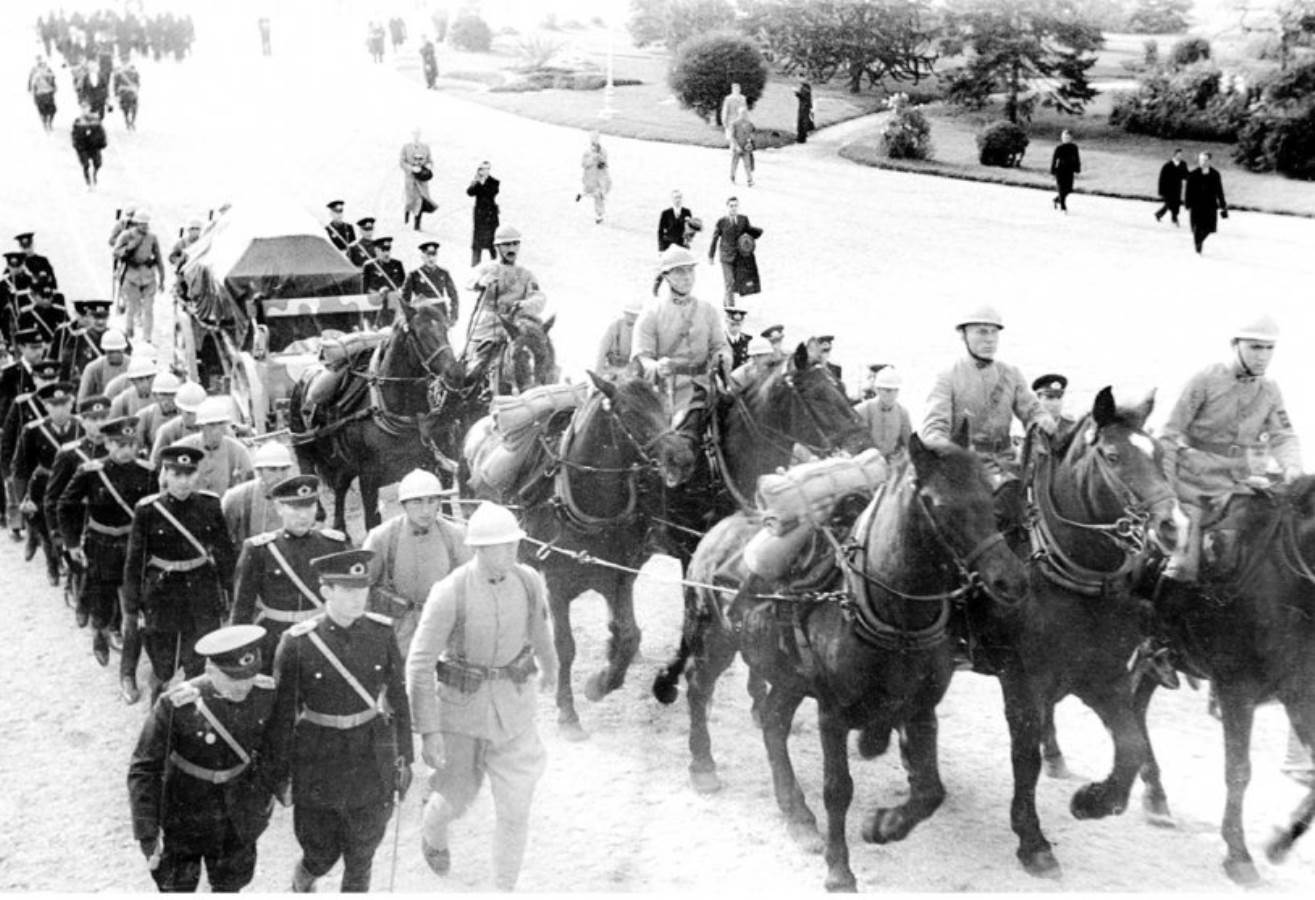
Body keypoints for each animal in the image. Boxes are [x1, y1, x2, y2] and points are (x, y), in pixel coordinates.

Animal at [290, 298, 460, 534]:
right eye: (418, 334)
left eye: (445, 329)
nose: (456, 373)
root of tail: (302, 379)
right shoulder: (368, 476)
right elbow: (372, 522)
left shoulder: (433, 467)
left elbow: (444, 511)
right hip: (304, 450)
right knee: (310, 478)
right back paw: (320, 515)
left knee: (340, 486)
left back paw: (339, 528)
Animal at [462, 365, 694, 736]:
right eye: (629, 413)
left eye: (664, 406)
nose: (682, 459)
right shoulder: (556, 584)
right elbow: (565, 647)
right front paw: (567, 713)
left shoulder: (618, 579)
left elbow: (629, 636)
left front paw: (599, 684)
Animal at [652, 436, 1030, 894]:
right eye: (939, 505)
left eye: (990, 500)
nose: (1011, 580)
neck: (888, 614)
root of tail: (718, 529)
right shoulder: (832, 713)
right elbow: (838, 789)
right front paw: (839, 869)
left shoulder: (921, 710)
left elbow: (929, 792)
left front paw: (883, 826)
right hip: (715, 639)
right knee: (697, 686)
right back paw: (703, 766)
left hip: (788, 676)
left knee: (773, 722)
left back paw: (796, 813)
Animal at [1136, 481, 1315, 884]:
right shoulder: (1237, 691)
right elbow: (1238, 772)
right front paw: (1238, 854)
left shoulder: (1300, 696)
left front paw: (1279, 843)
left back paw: (1156, 796)